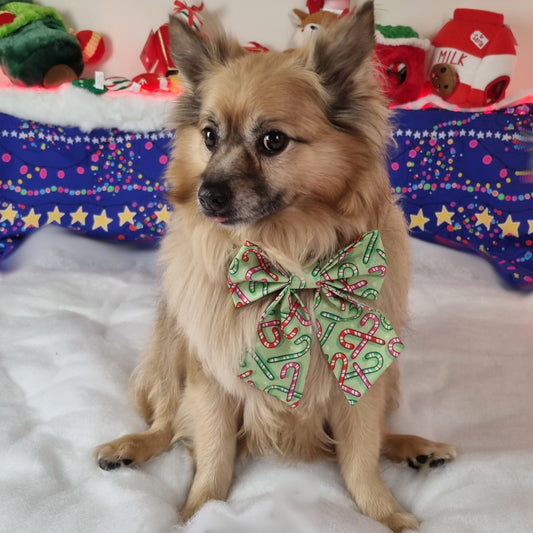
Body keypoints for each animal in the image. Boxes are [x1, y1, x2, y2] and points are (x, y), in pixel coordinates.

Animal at [94, 3, 454, 528]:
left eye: (272, 141)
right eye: (209, 136)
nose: (206, 195)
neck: (286, 261)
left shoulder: (360, 383)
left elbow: (361, 459)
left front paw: (384, 514)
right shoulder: (209, 378)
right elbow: (214, 456)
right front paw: (197, 511)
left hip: (389, 375)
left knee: (378, 438)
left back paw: (414, 448)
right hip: (169, 350)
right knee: (165, 424)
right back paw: (130, 447)